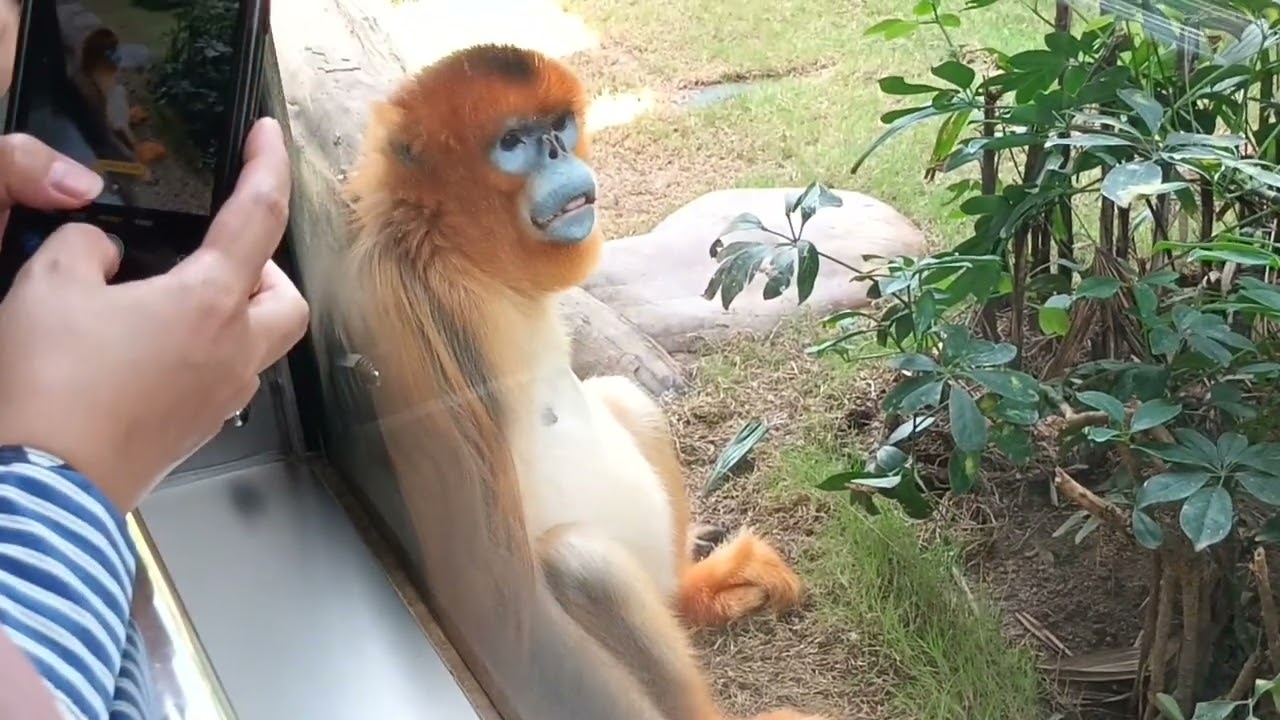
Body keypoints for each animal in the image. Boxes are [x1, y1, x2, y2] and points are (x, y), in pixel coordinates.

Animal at [338, 44, 831, 720]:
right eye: (513, 141)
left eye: (558, 126)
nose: (556, 152)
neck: (459, 256)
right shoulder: (423, 315)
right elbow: (499, 590)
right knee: (581, 566)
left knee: (625, 399)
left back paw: (694, 591)